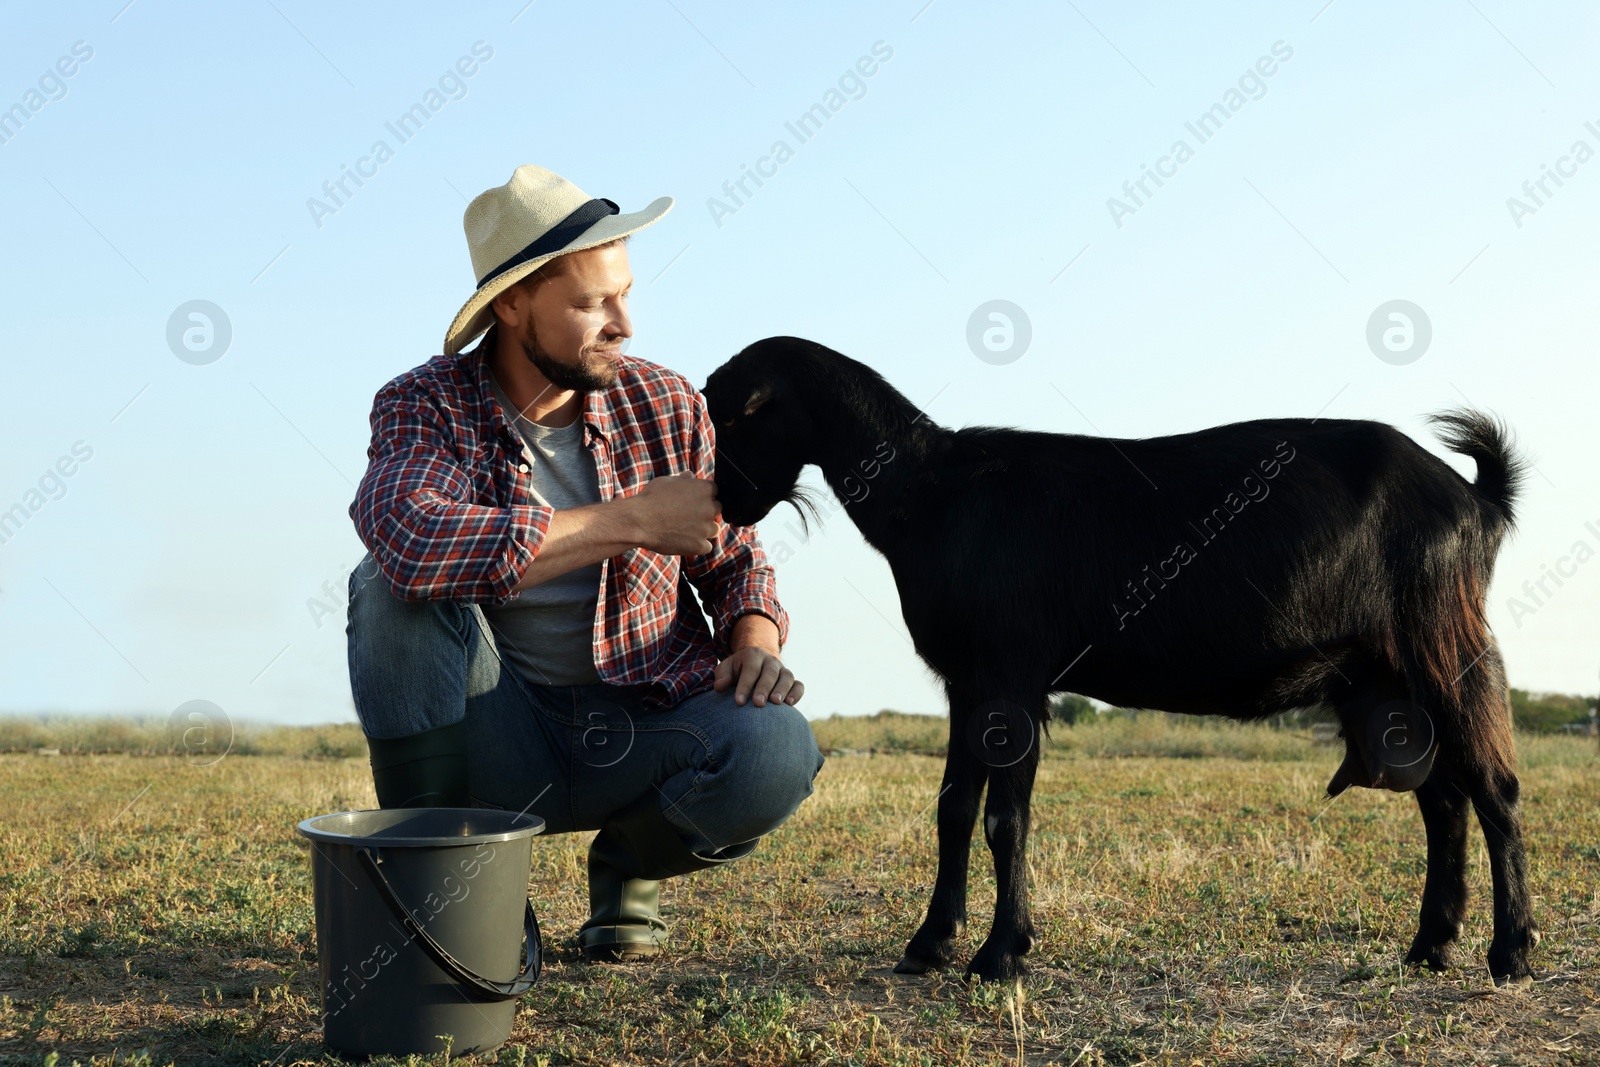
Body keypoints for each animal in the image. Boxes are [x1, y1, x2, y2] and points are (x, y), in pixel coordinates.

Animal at [707, 334, 1542, 985]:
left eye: (730, 413)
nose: (721, 506)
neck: (934, 492)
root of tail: (1476, 500)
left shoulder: (1011, 673)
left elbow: (1005, 817)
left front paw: (1001, 954)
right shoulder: (968, 680)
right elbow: (953, 807)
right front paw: (931, 942)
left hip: (1445, 639)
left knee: (1494, 785)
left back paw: (1512, 952)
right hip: (1383, 675)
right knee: (1444, 800)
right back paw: (1431, 945)